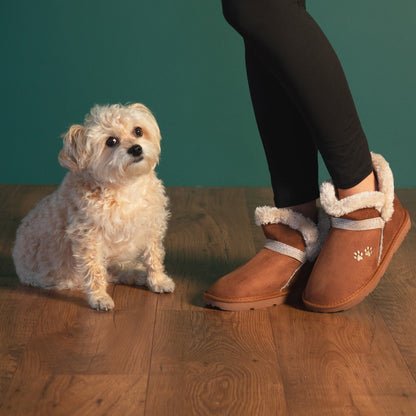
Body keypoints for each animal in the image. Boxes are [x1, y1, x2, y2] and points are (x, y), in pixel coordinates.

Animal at [13, 103, 174, 310]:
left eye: (138, 131)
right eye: (111, 141)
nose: (136, 148)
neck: (125, 186)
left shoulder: (151, 228)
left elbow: (154, 258)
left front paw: (158, 281)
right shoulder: (89, 240)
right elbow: (95, 271)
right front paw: (99, 298)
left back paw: (138, 274)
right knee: (105, 274)